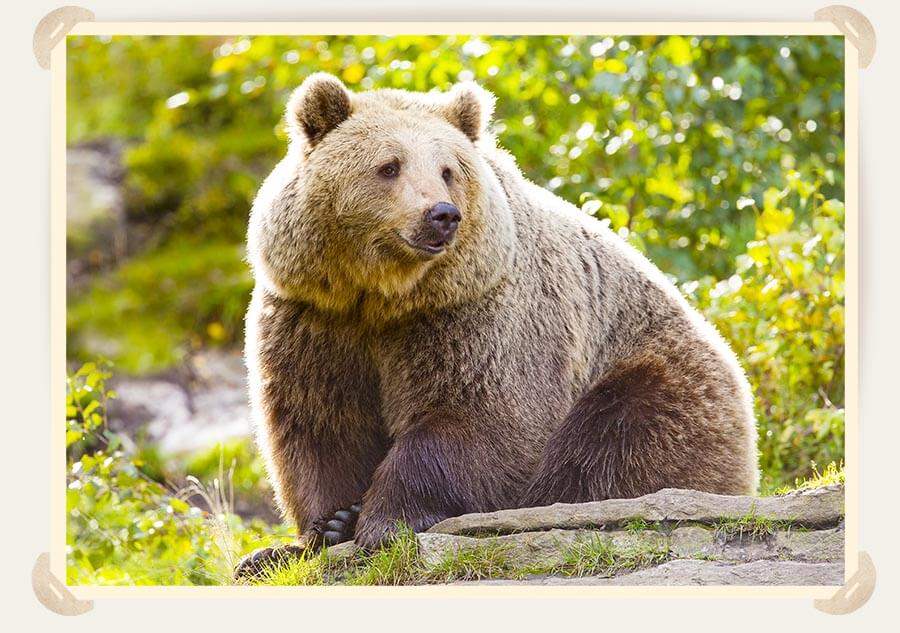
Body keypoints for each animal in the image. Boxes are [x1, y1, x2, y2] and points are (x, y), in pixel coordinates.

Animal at [237, 72, 758, 576]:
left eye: (447, 170)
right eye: (389, 166)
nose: (442, 215)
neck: (386, 296)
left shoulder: (476, 313)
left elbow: (476, 416)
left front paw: (383, 522)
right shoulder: (315, 317)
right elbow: (320, 422)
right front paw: (327, 525)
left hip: (653, 378)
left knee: (618, 444)